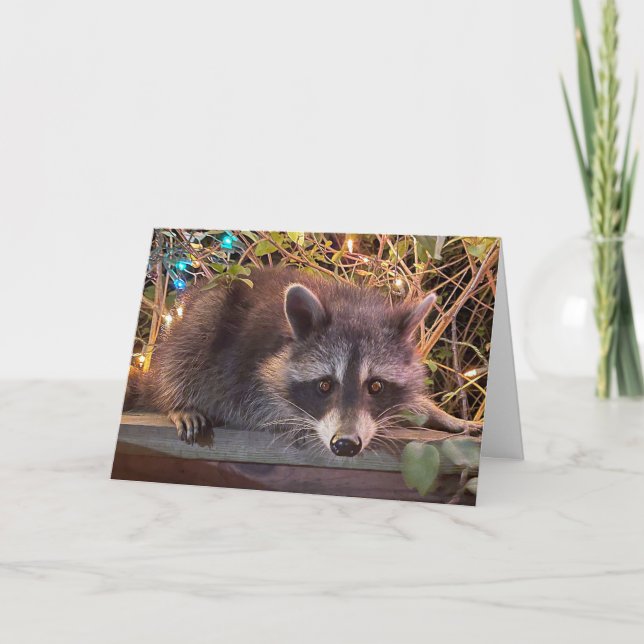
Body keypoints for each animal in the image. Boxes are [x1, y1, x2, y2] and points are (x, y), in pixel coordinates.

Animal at [132, 267, 480, 457]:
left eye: (376, 386)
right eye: (324, 385)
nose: (345, 445)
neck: (351, 307)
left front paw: (436, 412)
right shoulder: (256, 373)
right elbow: (269, 403)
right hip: (202, 318)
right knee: (187, 350)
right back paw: (177, 400)